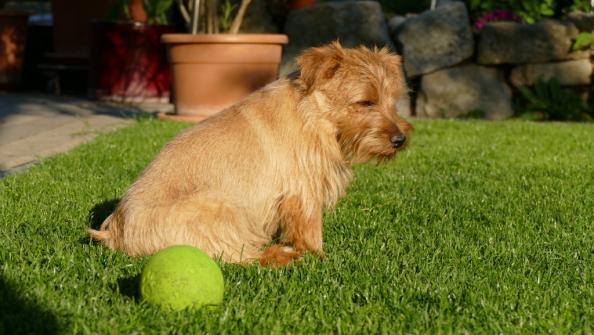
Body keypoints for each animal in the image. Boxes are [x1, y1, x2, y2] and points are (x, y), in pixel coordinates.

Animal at [88, 42, 410, 268]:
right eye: (365, 102)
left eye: (393, 100)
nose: (400, 139)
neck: (314, 113)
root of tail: (114, 232)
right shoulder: (303, 191)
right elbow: (310, 231)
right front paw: (321, 258)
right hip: (219, 206)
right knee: (234, 257)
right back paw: (280, 257)